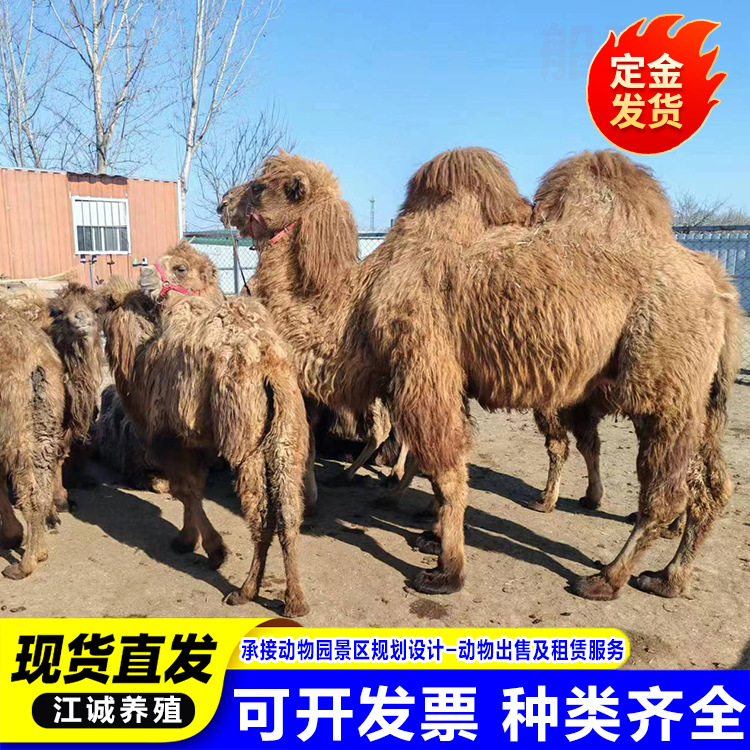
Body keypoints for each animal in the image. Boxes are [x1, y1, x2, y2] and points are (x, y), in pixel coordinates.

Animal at [98, 243, 310, 615]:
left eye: (179, 268)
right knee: (288, 511)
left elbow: (185, 490)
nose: (145, 273)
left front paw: (210, 548)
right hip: (287, 435)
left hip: (246, 438)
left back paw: (245, 590)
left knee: (261, 515)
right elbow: (192, 489)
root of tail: (268, 368)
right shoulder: (195, 440)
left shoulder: (170, 434)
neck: (139, 359)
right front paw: (191, 540)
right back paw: (295, 600)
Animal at [221, 148, 739, 602]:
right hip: (703, 396)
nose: (225, 201)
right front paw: (430, 535)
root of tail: (718, 283)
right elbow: (438, 466)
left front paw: (446, 571)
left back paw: (605, 579)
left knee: (664, 493)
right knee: (712, 486)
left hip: (662, 385)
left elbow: (448, 471)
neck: (355, 302)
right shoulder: (449, 379)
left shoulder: (423, 363)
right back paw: (668, 578)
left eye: (260, 186)